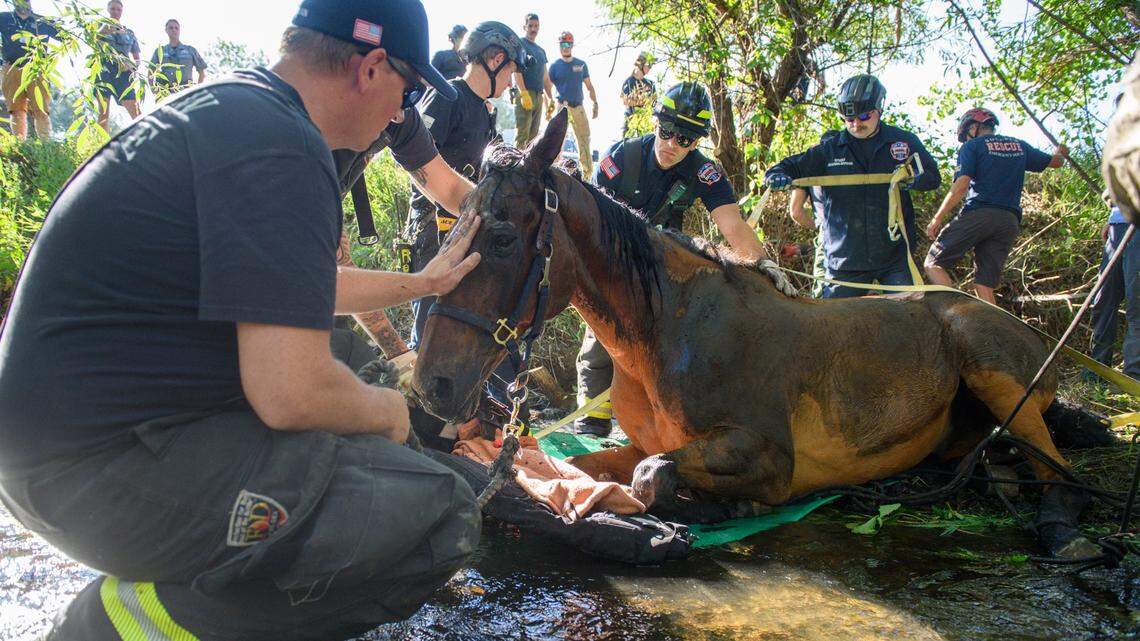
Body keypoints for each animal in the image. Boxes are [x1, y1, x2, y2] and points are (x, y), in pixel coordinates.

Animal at [412, 110, 1098, 559]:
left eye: (504, 239)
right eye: (452, 226)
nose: (432, 385)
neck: (667, 332)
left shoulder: (767, 455)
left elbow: (651, 479)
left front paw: (727, 506)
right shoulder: (638, 444)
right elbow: (590, 470)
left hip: (995, 371)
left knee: (1061, 475)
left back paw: (1068, 533)